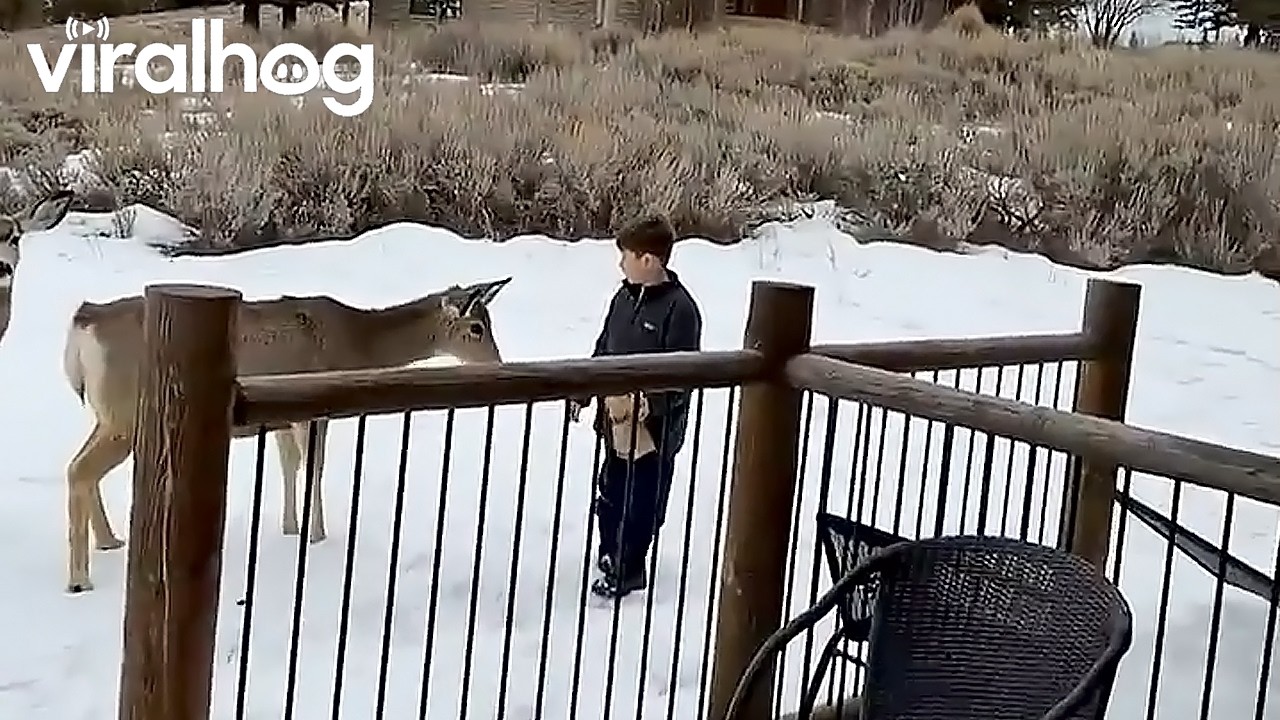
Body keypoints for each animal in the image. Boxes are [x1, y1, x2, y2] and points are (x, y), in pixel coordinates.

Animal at [60, 276, 512, 593]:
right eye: (476, 327)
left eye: (490, 323)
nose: (498, 362)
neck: (356, 343)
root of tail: (83, 324)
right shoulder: (316, 409)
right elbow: (315, 466)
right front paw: (317, 535)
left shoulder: (279, 419)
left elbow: (289, 463)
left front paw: (290, 526)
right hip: (126, 415)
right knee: (81, 469)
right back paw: (80, 577)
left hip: (108, 412)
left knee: (78, 465)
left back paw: (110, 541)